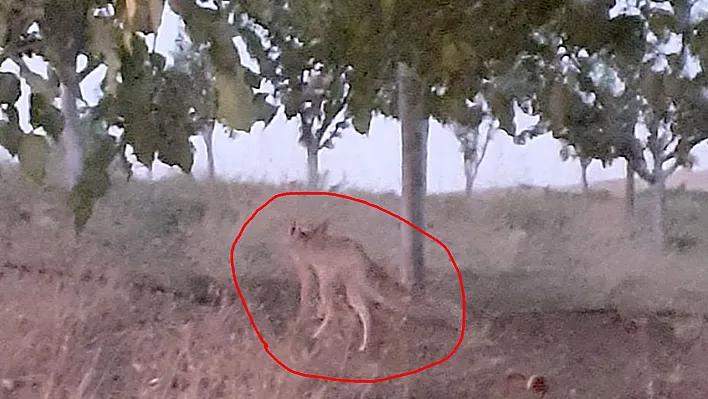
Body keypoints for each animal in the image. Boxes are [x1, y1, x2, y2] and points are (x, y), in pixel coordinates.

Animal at [288, 219, 410, 354]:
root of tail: (362, 255)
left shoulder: (308, 273)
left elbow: (305, 298)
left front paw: (301, 320)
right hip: (349, 281)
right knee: (368, 303)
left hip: (346, 283)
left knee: (355, 311)